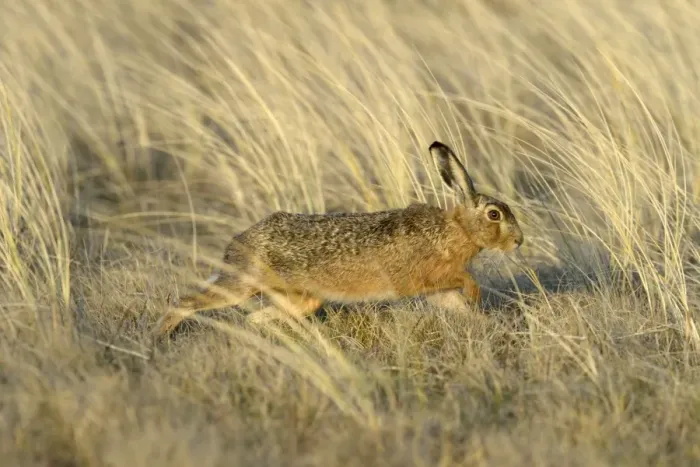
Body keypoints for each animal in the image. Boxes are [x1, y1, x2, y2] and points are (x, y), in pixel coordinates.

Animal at [154, 140, 524, 336]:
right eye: (494, 214)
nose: (518, 241)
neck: (456, 229)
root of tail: (238, 242)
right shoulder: (425, 278)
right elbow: (463, 279)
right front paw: (477, 297)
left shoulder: (438, 290)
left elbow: (457, 304)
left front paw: (487, 323)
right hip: (242, 285)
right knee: (188, 302)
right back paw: (161, 335)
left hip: (301, 299)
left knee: (258, 316)